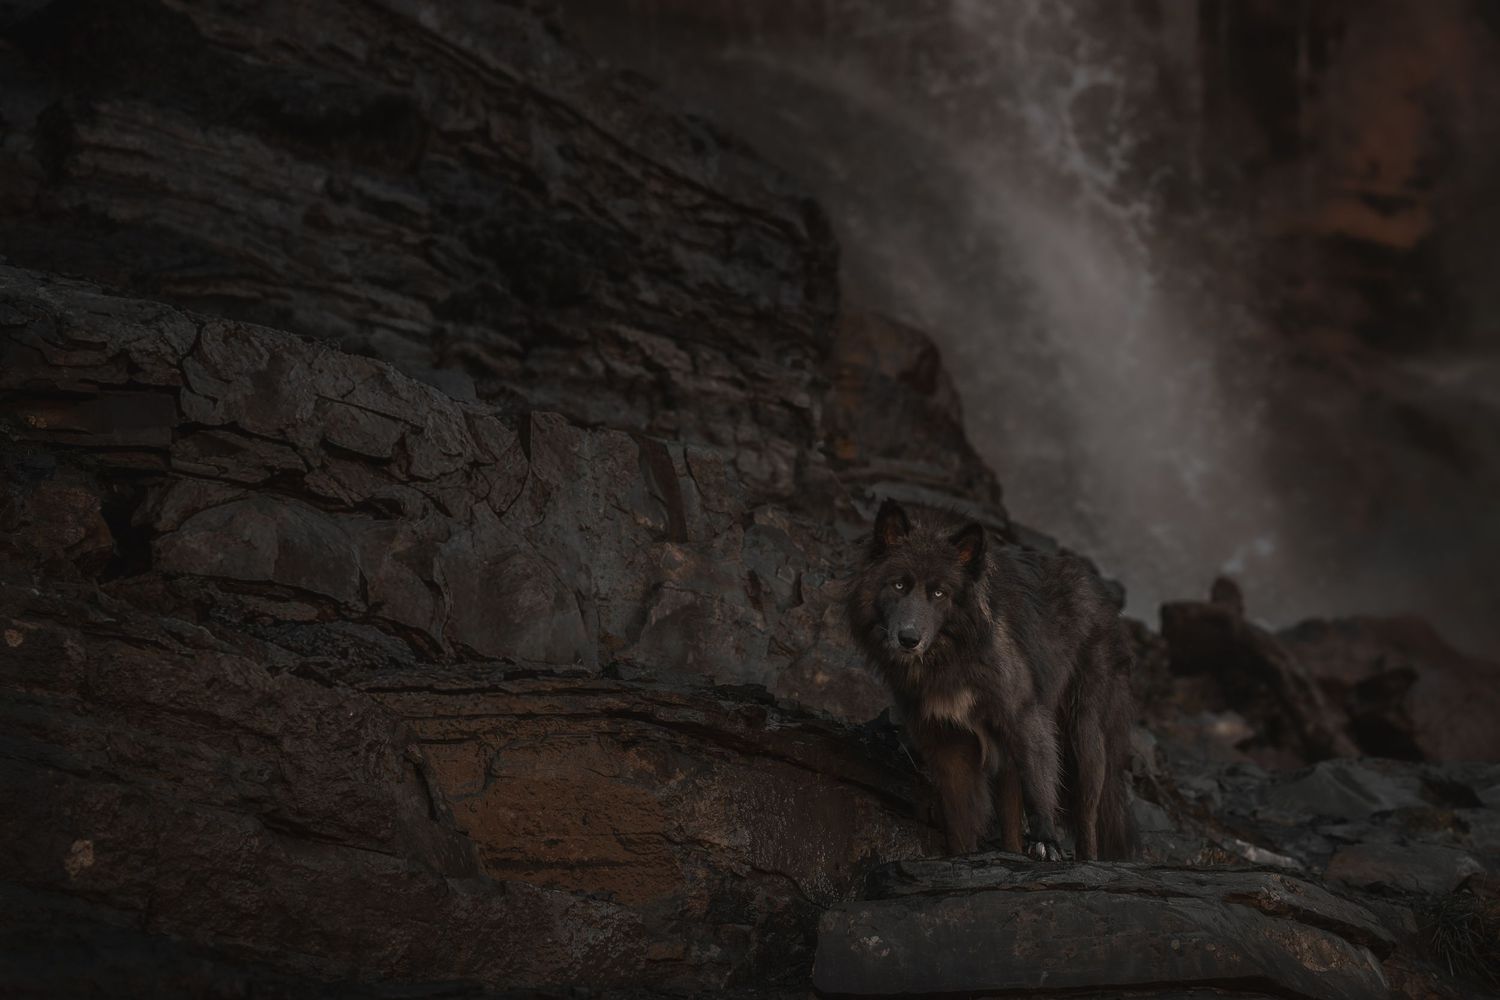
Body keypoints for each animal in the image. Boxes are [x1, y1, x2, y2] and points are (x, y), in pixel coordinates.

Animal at [848, 498, 1136, 860]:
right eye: (898, 584)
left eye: (939, 593)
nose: (908, 639)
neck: (951, 657)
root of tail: (1100, 592)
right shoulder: (949, 743)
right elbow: (960, 819)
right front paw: (961, 857)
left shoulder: (1026, 719)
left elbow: (1040, 784)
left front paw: (1046, 840)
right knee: (1012, 828)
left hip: (1082, 736)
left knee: (1087, 814)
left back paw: (1086, 858)